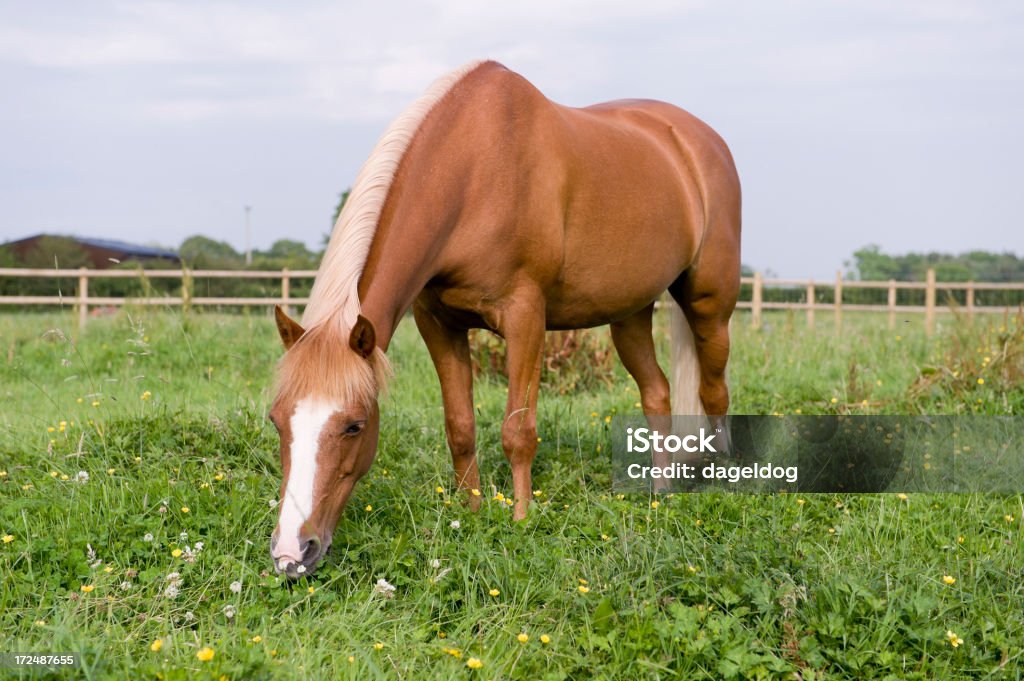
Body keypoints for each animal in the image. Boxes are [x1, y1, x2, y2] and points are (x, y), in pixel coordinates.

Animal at [268, 59, 741, 577]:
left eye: (355, 425)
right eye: (276, 420)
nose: (292, 553)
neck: (473, 173)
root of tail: (698, 140)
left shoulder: (525, 318)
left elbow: (518, 431)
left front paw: (520, 520)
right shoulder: (438, 323)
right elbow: (460, 427)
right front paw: (469, 512)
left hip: (711, 305)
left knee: (714, 392)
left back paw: (727, 484)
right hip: (631, 313)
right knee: (657, 394)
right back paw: (659, 495)